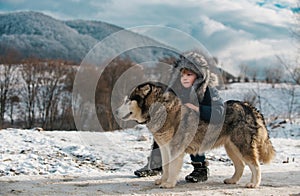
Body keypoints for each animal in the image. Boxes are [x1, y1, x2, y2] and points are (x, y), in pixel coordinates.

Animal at [116, 82, 276, 189]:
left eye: (129, 100)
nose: (116, 111)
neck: (160, 111)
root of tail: (248, 106)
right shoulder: (164, 147)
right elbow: (166, 166)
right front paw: (163, 180)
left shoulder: (175, 149)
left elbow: (172, 168)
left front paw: (169, 184)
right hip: (231, 147)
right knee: (241, 165)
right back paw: (232, 180)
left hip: (242, 146)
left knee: (255, 165)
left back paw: (254, 184)